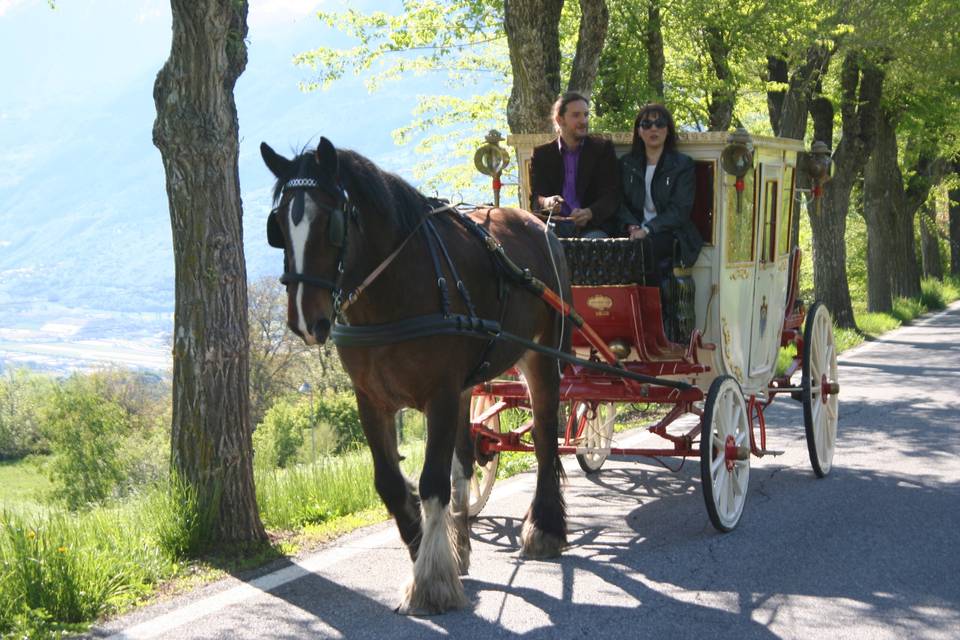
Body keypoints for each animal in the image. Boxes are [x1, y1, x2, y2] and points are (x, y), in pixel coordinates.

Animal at [258, 138, 568, 612]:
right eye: (278, 226)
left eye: (330, 222)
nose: (304, 322)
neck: (394, 292)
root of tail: (538, 222)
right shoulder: (371, 399)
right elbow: (391, 483)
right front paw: (428, 547)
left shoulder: (439, 394)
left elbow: (431, 483)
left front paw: (431, 579)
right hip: (469, 383)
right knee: (466, 461)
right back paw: (461, 543)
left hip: (541, 356)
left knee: (546, 436)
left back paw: (545, 528)